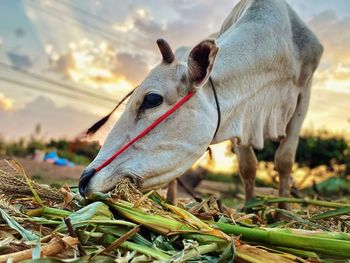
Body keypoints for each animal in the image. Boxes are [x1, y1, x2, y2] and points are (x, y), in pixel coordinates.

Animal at [78, 0, 322, 206]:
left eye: (152, 99)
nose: (83, 180)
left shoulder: (304, 93)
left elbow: (284, 160)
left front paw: (282, 211)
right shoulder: (239, 117)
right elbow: (248, 167)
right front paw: (250, 207)